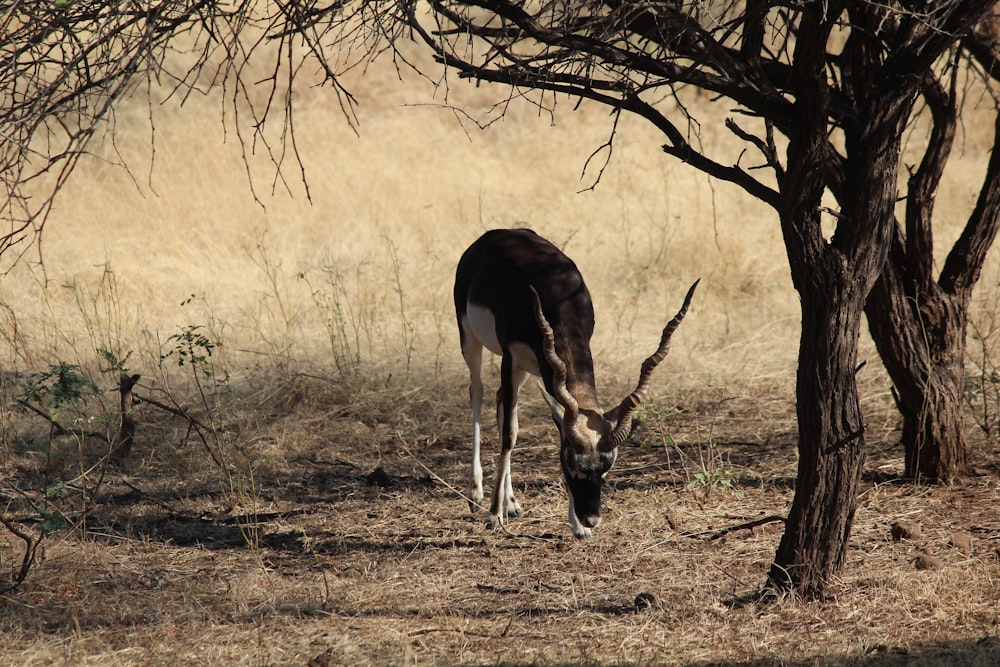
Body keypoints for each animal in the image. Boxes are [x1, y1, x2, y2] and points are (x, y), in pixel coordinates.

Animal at [458, 228, 700, 536]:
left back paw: (512, 503)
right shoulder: (510, 357)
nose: (592, 518)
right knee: (477, 391)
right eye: (572, 463)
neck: (554, 295)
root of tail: (496, 234)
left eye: (607, 468)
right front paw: (493, 516)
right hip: (471, 339)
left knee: (501, 399)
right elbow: (509, 434)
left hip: (527, 368)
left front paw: (578, 527)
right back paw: (475, 493)